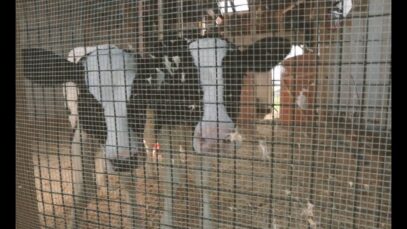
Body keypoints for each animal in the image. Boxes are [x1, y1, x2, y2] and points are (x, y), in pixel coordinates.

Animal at [22, 45, 150, 229]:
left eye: (138, 99)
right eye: (91, 107)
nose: (123, 160)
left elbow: (128, 182)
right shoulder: (80, 136)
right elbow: (84, 190)